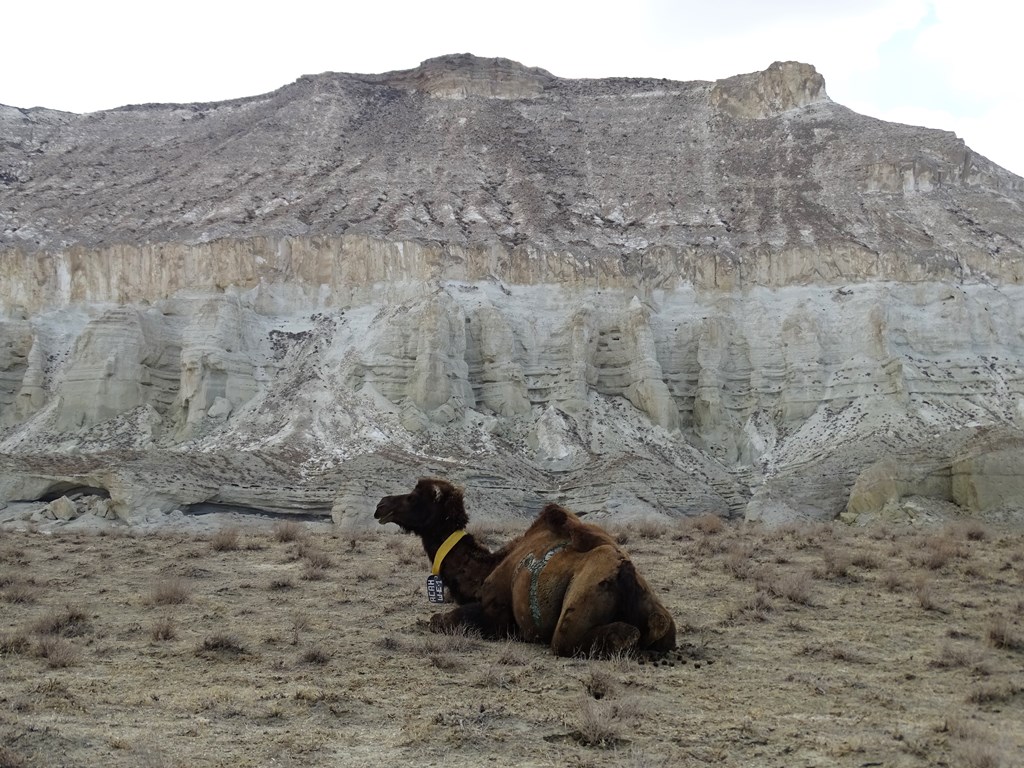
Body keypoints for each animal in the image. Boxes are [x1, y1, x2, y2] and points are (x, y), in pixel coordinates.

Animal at [372, 479, 675, 659]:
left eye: (414, 497)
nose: (381, 505)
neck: (485, 570)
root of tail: (626, 574)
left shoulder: (496, 614)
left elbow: (439, 620)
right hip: (662, 621)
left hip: (575, 614)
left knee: (594, 637)